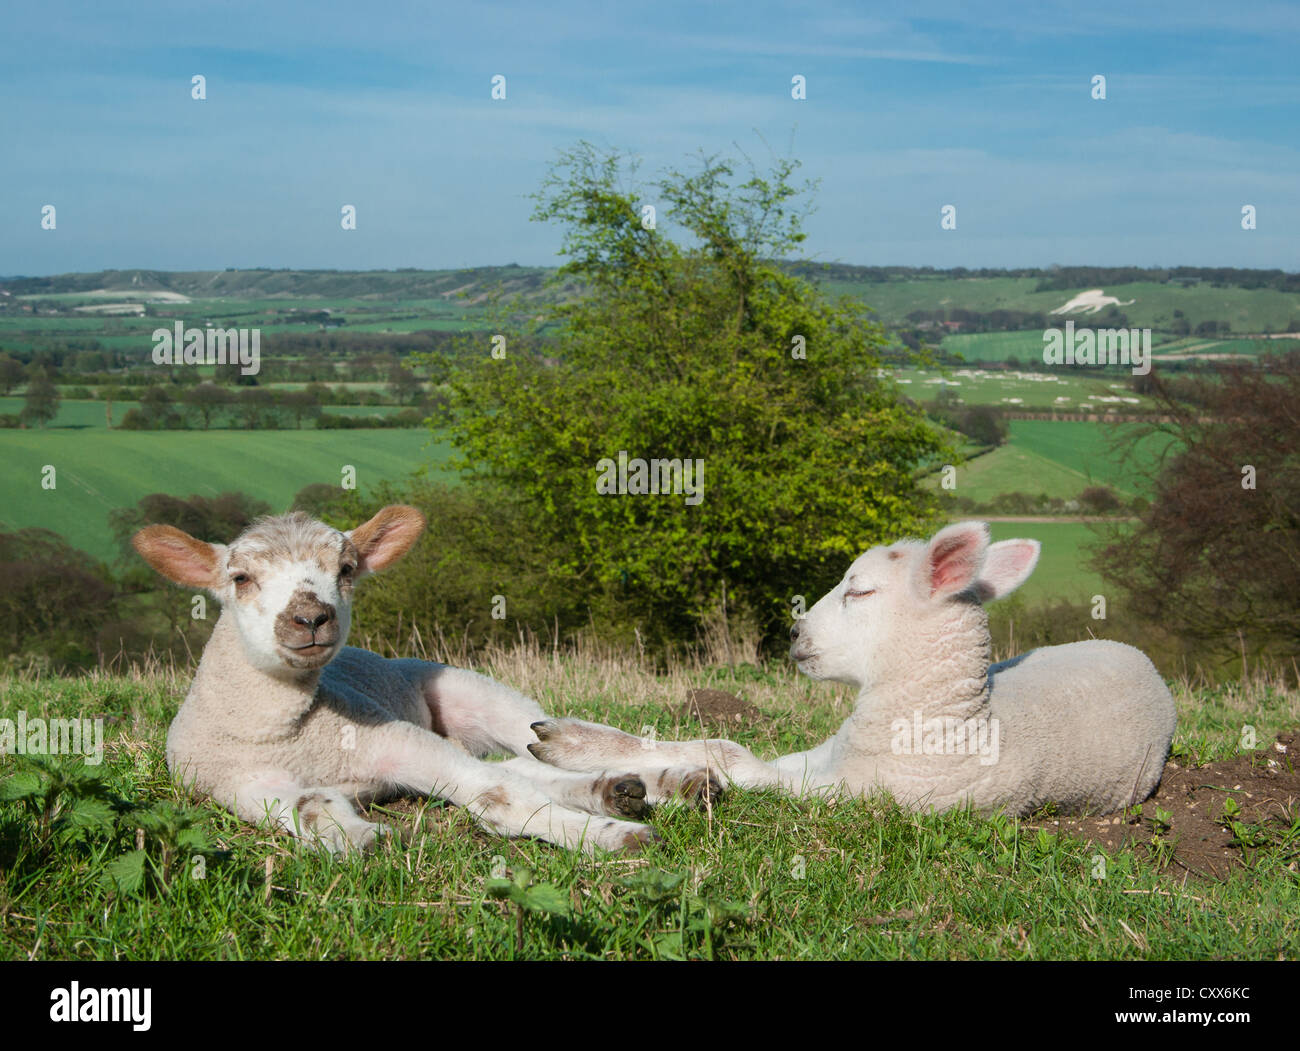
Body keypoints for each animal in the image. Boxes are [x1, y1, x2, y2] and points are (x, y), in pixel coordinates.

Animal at [131, 504, 712, 858]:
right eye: (240, 578)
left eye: (346, 570)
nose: (311, 617)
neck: (289, 735)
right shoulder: (235, 782)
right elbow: (308, 806)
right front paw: (355, 837)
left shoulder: (392, 737)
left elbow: (499, 795)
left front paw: (611, 838)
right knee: (523, 763)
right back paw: (618, 791)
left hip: (481, 695)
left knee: (556, 744)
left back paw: (674, 779)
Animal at [527, 520, 1180, 816]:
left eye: (860, 591)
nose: (793, 633)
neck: (954, 727)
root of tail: (1142, 660)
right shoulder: (822, 756)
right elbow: (724, 743)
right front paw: (572, 742)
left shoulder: (854, 795)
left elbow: (737, 765)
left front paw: (675, 780)